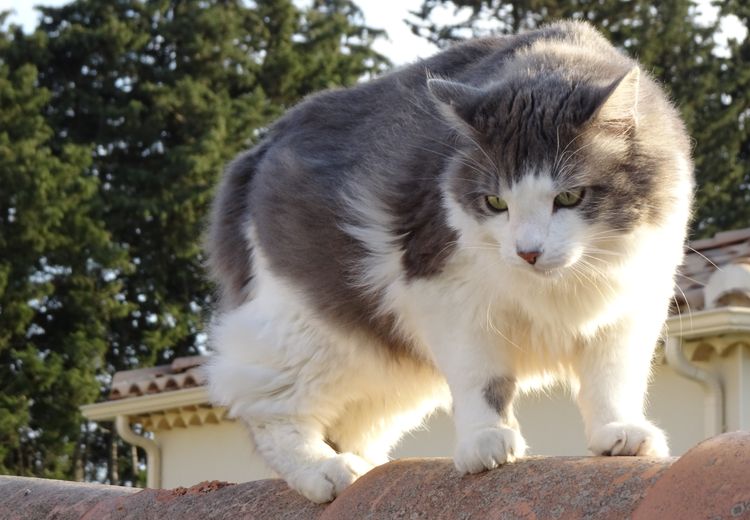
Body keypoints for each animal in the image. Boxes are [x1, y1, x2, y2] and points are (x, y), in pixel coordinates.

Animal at [204, 21, 692, 504]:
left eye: (569, 197)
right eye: (495, 203)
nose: (527, 252)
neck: (559, 284)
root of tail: (257, 151)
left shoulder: (632, 306)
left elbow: (612, 380)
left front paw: (620, 433)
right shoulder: (447, 297)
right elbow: (482, 380)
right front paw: (486, 440)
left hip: (389, 376)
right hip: (306, 332)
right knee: (265, 405)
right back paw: (326, 469)